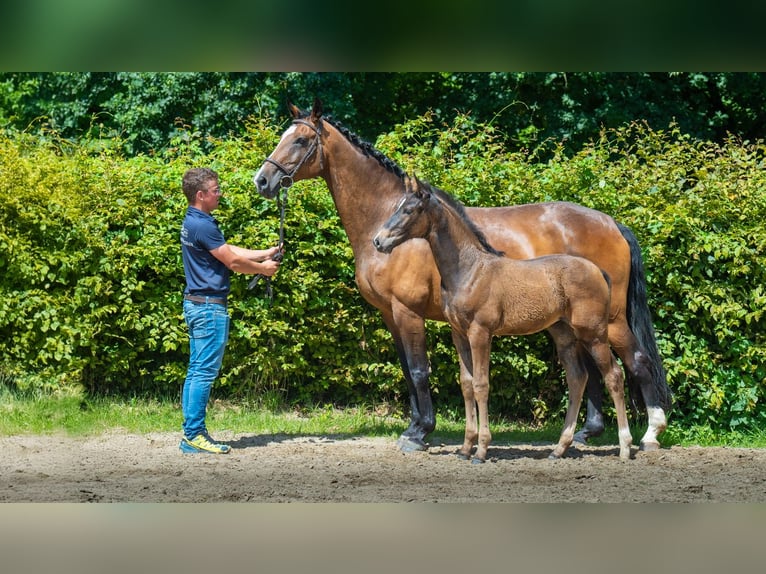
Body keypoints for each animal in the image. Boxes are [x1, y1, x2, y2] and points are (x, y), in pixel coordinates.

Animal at [374, 178, 636, 466]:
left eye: (409, 210)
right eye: (397, 207)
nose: (378, 241)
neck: (469, 270)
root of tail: (598, 271)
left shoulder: (481, 332)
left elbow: (481, 384)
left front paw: (481, 451)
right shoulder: (459, 334)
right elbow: (466, 384)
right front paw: (465, 448)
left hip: (594, 333)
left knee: (614, 375)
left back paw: (625, 447)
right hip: (564, 335)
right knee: (578, 378)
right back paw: (559, 448)